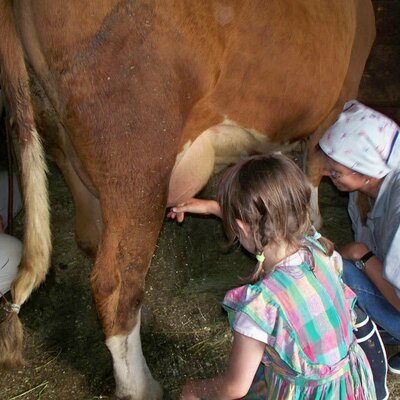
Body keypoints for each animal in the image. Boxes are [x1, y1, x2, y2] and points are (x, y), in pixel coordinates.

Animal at [0, 0, 376, 400]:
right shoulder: (337, 102)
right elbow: (313, 181)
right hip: (138, 162)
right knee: (113, 281)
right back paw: (142, 386)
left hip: (64, 147)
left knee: (95, 243)